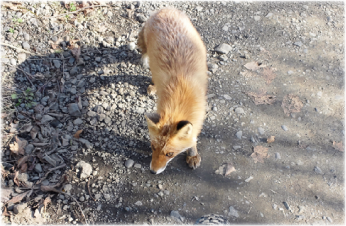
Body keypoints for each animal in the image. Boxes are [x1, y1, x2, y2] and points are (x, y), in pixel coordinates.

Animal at [138, 7, 208, 174]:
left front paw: (192, 155)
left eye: (170, 154)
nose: (153, 171)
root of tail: (166, 9)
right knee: (145, 54)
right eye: (152, 147)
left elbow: (193, 139)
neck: (180, 96)